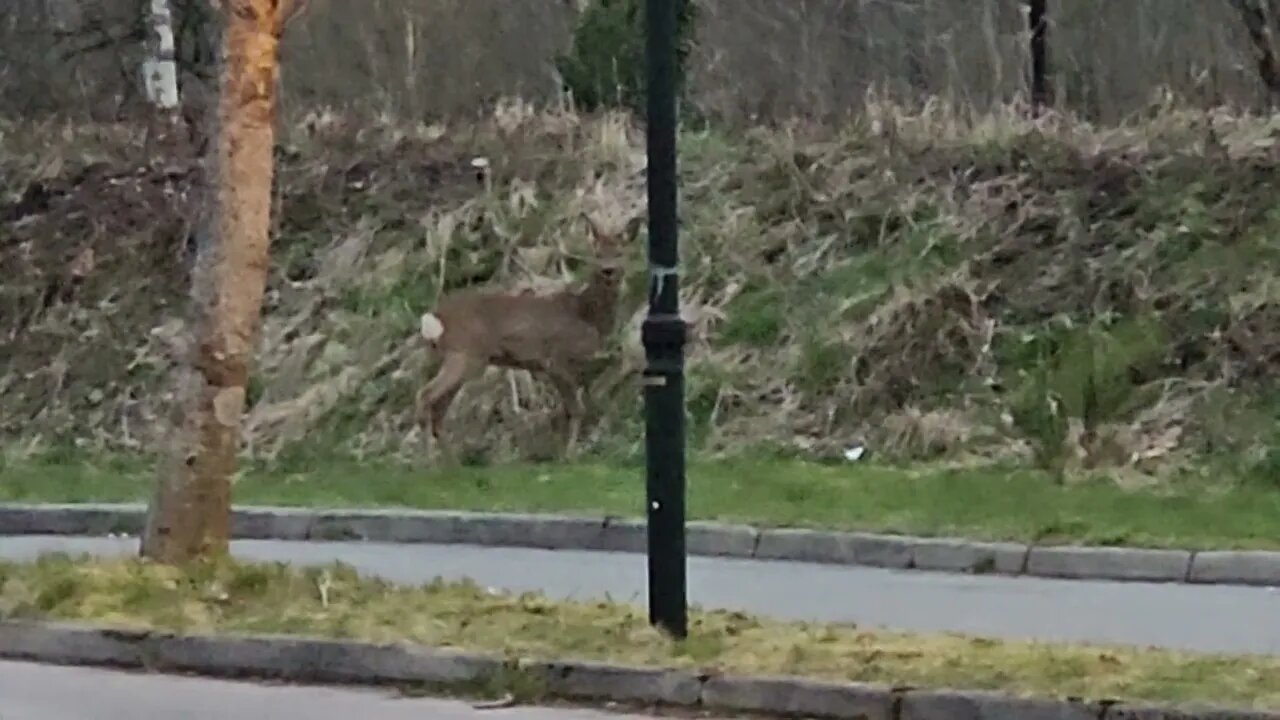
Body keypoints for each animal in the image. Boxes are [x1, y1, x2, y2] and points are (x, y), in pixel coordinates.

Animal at [414, 212, 644, 456]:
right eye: (597, 253)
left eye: (620, 252)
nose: (608, 271)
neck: (587, 315)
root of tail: (435, 317)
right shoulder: (556, 359)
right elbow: (577, 409)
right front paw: (570, 453)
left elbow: (574, 407)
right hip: (466, 354)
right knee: (425, 396)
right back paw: (428, 459)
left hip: (462, 358)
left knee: (438, 409)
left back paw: (450, 461)